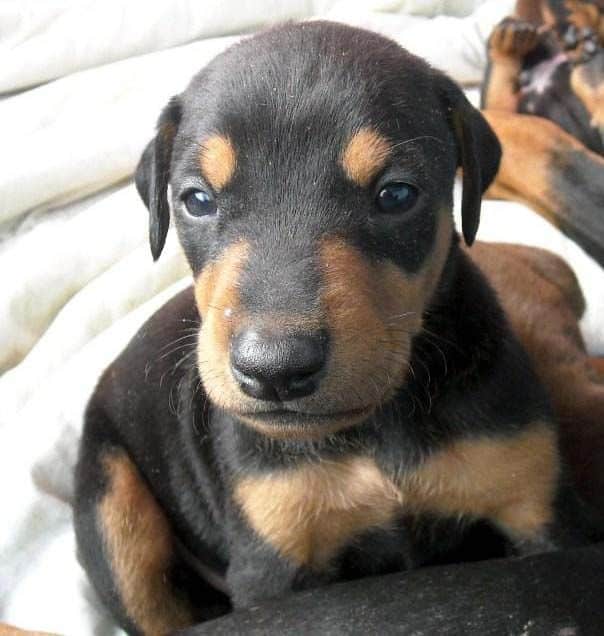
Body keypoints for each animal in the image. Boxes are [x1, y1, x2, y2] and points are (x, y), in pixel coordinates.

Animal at [74, 21, 596, 636]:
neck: (373, 428)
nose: (274, 369)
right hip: (113, 510)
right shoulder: (273, 560)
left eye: (396, 194)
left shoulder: (536, 505)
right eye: (197, 200)